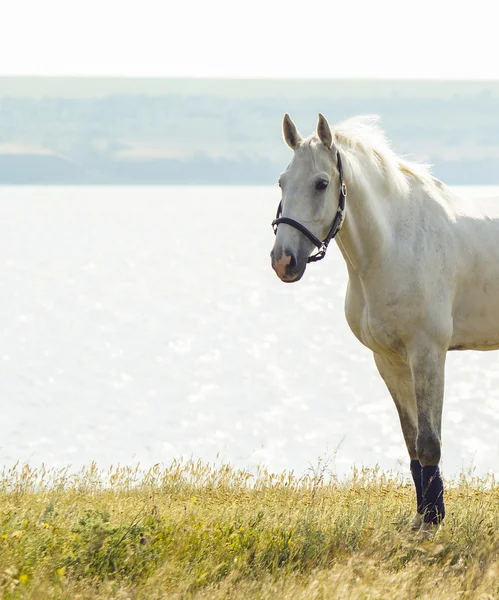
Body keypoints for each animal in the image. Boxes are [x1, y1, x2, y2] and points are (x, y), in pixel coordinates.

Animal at [272, 113, 499, 536]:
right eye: (282, 181)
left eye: (321, 183)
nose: (283, 260)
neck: (394, 244)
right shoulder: (389, 360)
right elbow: (411, 442)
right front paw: (421, 517)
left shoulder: (428, 354)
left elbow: (429, 441)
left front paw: (432, 524)